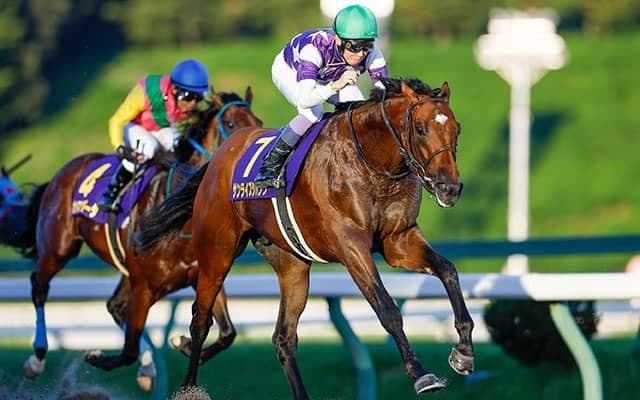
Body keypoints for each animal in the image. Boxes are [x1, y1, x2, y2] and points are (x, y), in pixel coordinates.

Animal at [19, 87, 263, 391]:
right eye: (230, 124)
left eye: (258, 120)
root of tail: (63, 172)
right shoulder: (144, 286)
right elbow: (128, 351)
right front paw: (96, 356)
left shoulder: (202, 275)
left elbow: (227, 332)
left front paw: (181, 344)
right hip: (58, 248)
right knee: (39, 286)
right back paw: (37, 358)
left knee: (115, 306)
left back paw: (147, 368)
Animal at [136, 77, 475, 398]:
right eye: (420, 128)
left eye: (457, 128)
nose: (449, 188)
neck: (372, 162)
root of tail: (220, 156)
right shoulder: (352, 247)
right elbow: (388, 309)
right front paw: (421, 374)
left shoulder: (399, 240)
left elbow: (448, 270)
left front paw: (463, 352)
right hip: (216, 252)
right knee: (201, 320)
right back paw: (188, 388)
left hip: (292, 265)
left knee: (283, 337)